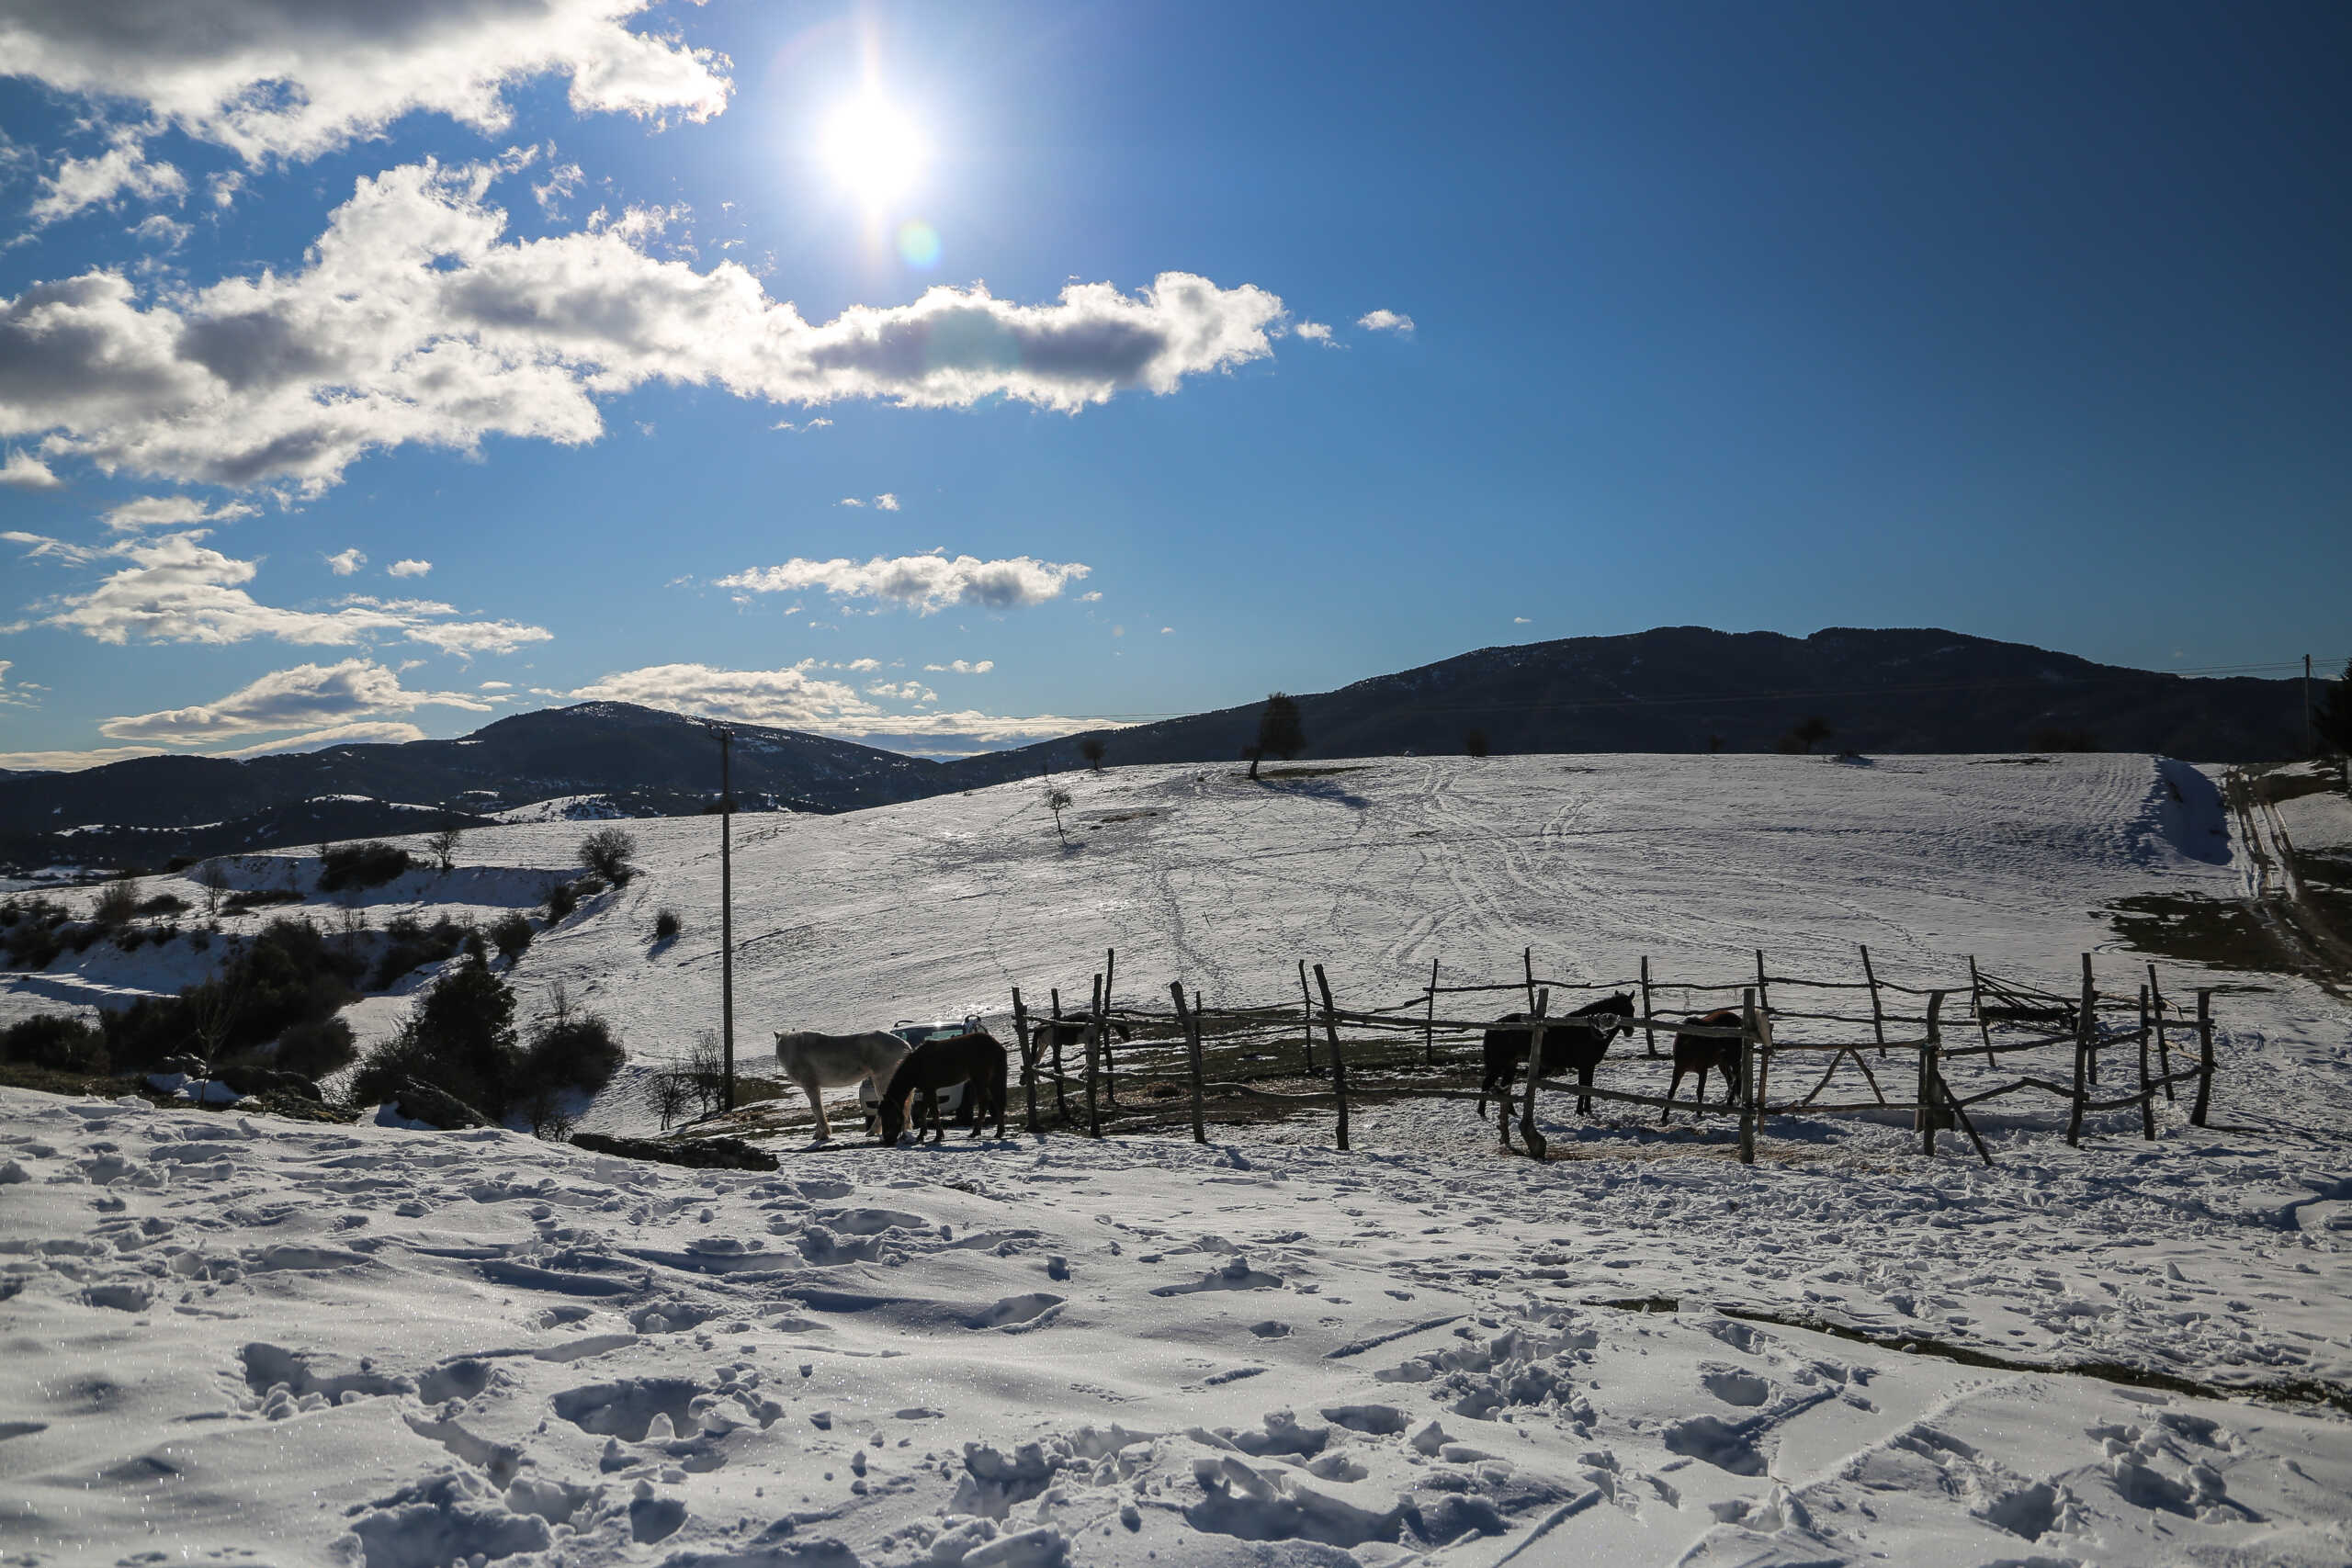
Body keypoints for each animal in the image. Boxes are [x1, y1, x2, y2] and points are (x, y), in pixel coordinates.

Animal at [775, 1029, 912, 1142]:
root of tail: (904, 1044)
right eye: (780, 1048)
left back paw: (875, 1131)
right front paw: (818, 1134)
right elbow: (817, 1108)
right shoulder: (814, 1087)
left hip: (881, 1081)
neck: (799, 1050)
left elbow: (816, 1108)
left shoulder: (810, 1086)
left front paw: (823, 1134)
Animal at [875, 1034, 1001, 1146]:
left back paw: (978, 1132)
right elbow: (923, 1111)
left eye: (889, 1115)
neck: (917, 1064)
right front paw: (921, 1135)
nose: (888, 1141)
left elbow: (934, 1112)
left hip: (980, 1080)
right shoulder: (926, 1090)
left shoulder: (930, 1090)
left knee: (986, 1103)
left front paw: (938, 1136)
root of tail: (994, 1043)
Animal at [1467, 991, 1636, 1114]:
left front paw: (1587, 1110)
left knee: (1505, 1087)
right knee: (1487, 1084)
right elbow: (1583, 1088)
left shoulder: (1590, 1066)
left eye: (1632, 1009)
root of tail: (1495, 1026)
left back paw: (1512, 1113)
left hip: (1510, 1064)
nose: (1630, 1032)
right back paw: (1482, 1113)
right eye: (1627, 1009)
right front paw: (1580, 1112)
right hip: (1499, 1064)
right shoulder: (1585, 1066)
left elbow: (1588, 1088)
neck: (1588, 1030)